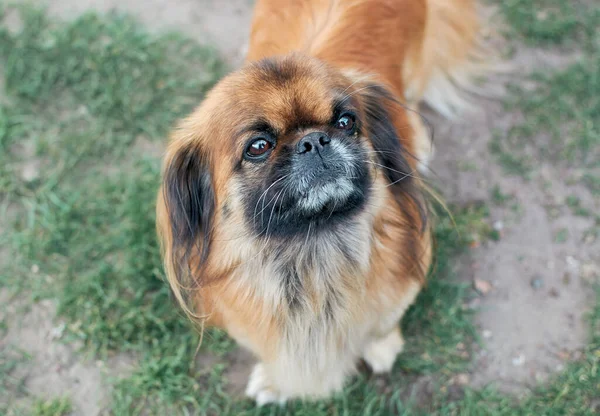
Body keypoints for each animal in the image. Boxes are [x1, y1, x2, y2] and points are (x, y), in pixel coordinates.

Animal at [156, 0, 482, 404]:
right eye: (258, 146)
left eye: (345, 122)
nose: (313, 140)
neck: (311, 255)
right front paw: (275, 382)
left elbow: (383, 324)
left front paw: (381, 347)